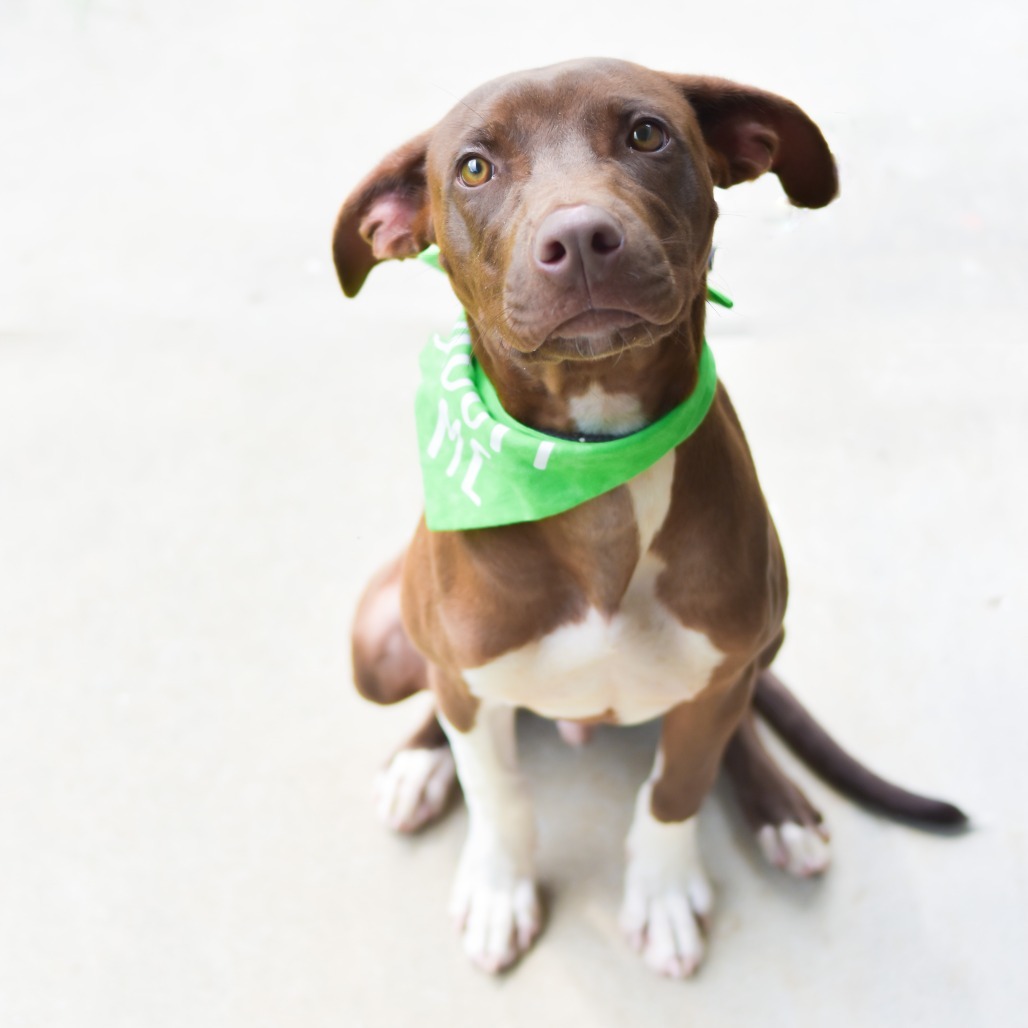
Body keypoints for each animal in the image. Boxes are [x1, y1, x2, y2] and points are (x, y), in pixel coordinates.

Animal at [333, 58, 966, 978]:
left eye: (645, 134)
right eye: (475, 168)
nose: (580, 238)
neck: (590, 470)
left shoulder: (720, 675)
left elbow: (677, 789)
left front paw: (663, 896)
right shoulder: (461, 674)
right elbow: (501, 794)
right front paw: (497, 888)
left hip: (762, 642)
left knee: (742, 716)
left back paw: (781, 810)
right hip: (377, 643)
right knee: (440, 698)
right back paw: (420, 763)